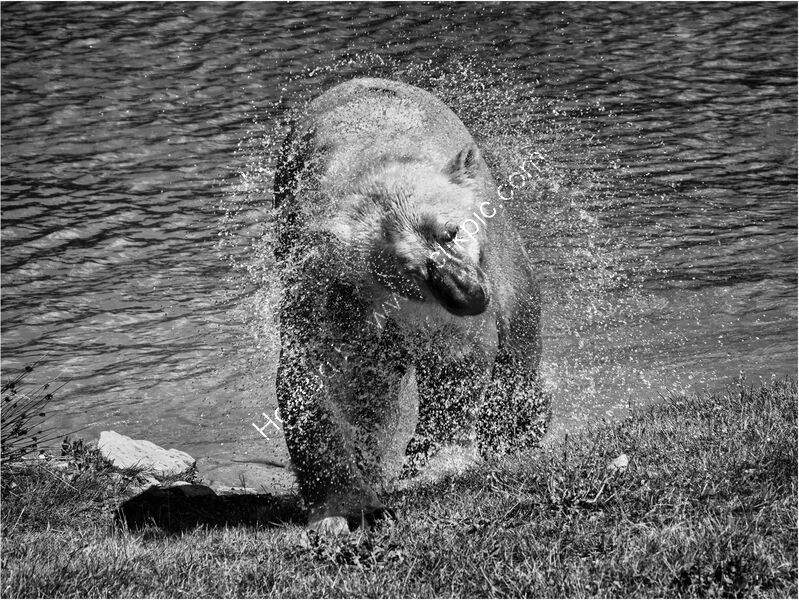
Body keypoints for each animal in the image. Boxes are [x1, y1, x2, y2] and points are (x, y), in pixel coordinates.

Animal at [273, 77, 549, 535]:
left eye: (451, 231)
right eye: (408, 268)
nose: (467, 295)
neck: (375, 164)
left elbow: (458, 356)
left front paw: (430, 462)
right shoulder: (325, 283)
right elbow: (313, 376)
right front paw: (343, 506)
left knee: (520, 333)